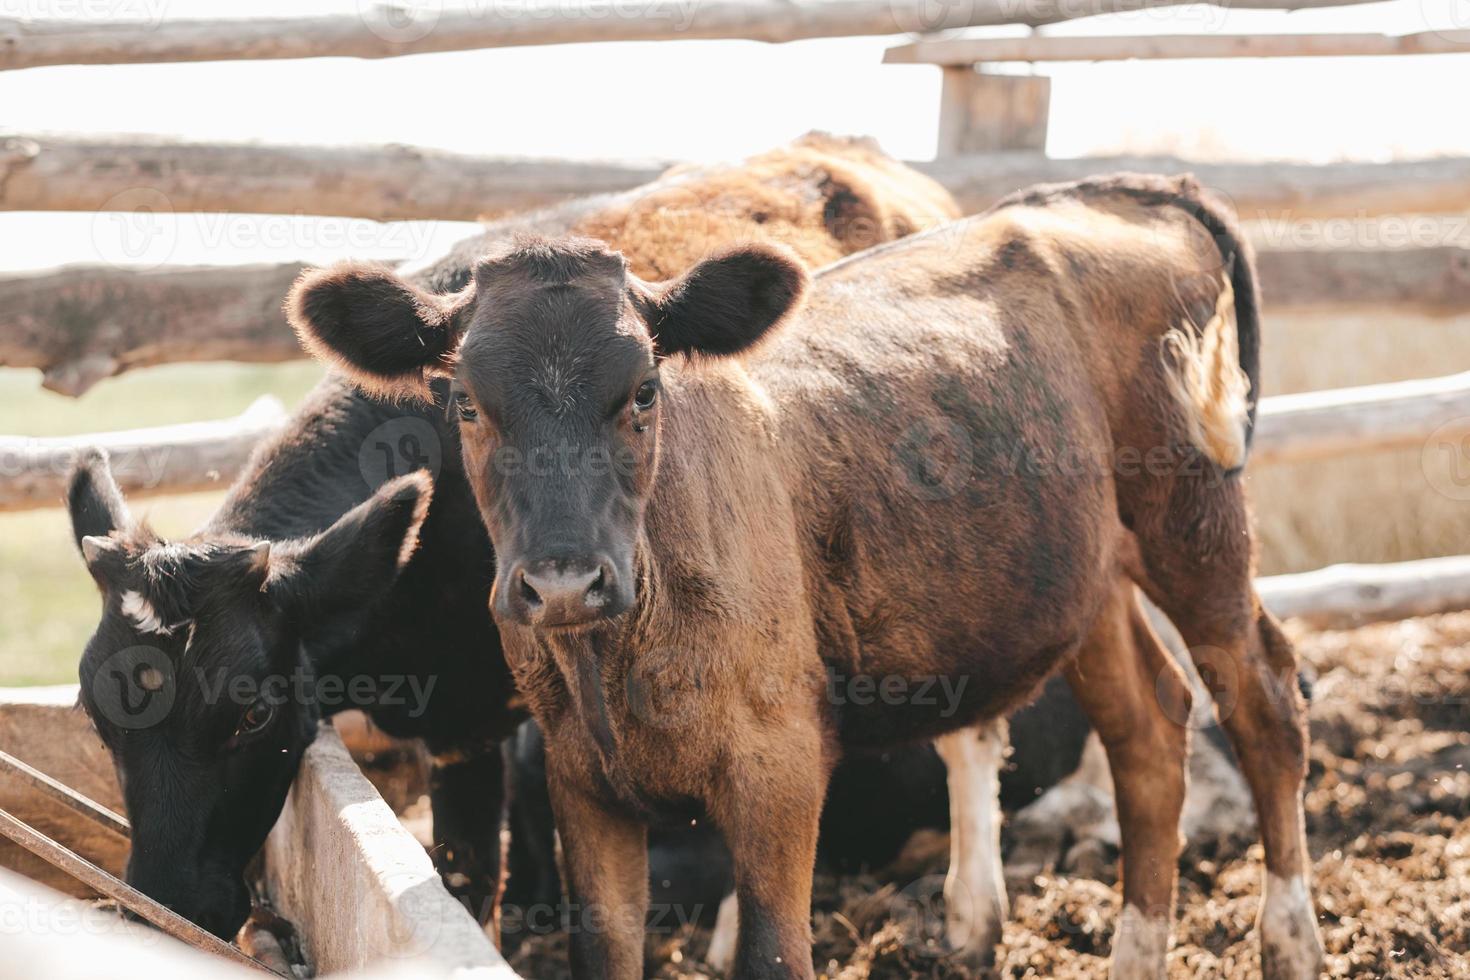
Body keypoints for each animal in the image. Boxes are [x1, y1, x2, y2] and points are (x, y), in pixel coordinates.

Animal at [286, 176, 1323, 980]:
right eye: (464, 402)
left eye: (645, 392)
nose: (565, 584)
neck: (619, 659)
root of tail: (1112, 193)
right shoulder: (581, 783)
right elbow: (603, 952)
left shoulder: (779, 770)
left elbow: (773, 954)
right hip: (1087, 578)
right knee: (1147, 728)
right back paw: (1136, 951)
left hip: (1195, 522)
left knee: (1263, 701)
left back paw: (1290, 940)